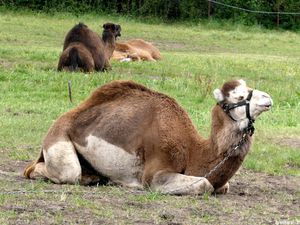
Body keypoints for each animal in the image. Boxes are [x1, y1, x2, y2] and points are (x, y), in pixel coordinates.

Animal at [23, 79, 272, 195]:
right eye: (240, 96)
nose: (268, 98)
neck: (193, 150)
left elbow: (222, 185)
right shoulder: (155, 173)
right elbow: (204, 184)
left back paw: (95, 177)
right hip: (58, 138)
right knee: (62, 172)